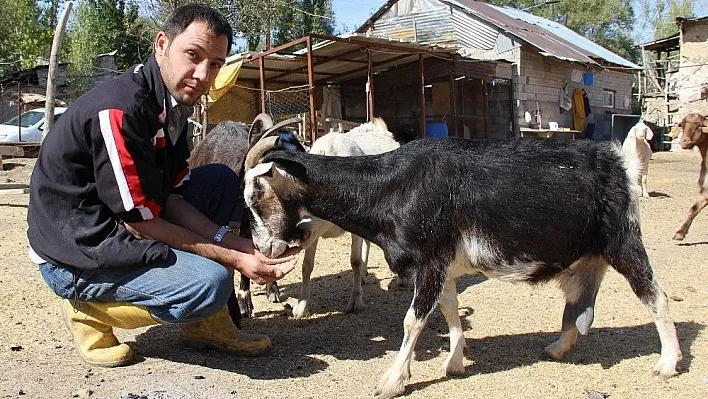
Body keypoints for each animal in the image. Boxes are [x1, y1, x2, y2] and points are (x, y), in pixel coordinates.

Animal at [668, 112, 708, 241]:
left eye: (699, 126)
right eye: (682, 124)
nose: (684, 141)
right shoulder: (704, 191)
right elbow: (693, 209)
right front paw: (680, 233)